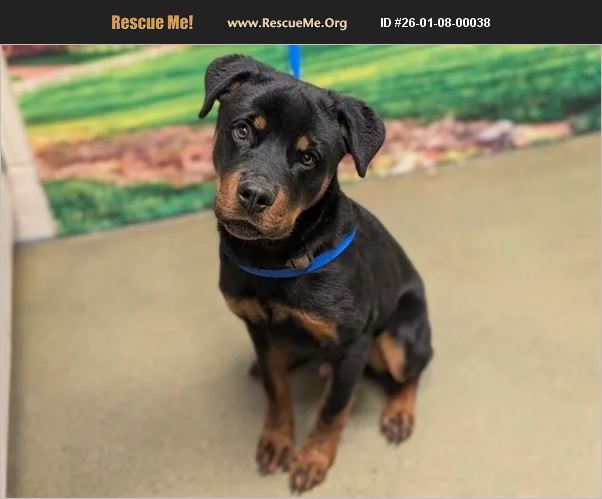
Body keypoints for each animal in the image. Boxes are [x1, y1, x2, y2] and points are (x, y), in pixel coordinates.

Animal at [199, 55, 433, 493]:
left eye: (309, 158)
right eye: (243, 129)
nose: (254, 195)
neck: (276, 257)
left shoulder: (351, 344)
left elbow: (331, 411)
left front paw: (312, 459)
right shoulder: (258, 329)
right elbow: (276, 392)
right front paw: (276, 440)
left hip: (399, 338)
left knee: (411, 372)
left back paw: (399, 413)